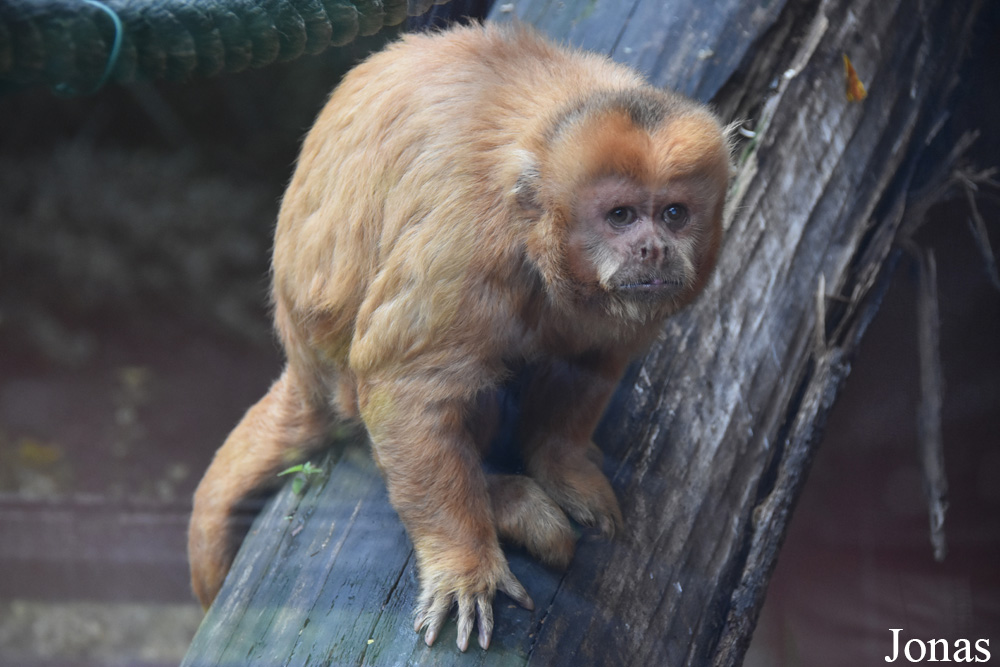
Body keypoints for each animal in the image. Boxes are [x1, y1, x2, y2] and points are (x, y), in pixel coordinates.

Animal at [189, 23, 728, 656]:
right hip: (335, 365)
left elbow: (594, 357)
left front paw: (561, 461)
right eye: (620, 216)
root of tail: (302, 362)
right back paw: (504, 503)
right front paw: (465, 564)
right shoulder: (468, 244)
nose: (653, 249)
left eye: (674, 214)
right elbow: (404, 390)